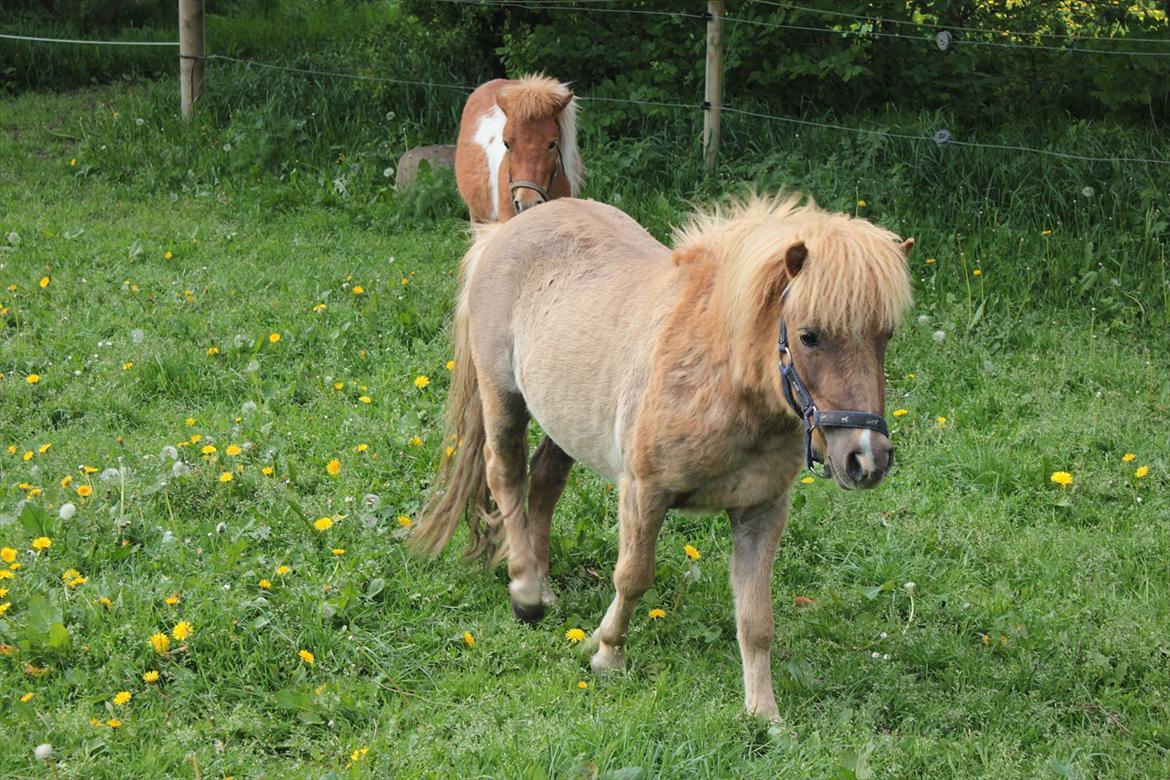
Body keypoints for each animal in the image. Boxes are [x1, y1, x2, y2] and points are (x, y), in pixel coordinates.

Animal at [411, 194, 912, 720]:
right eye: (810, 335)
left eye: (885, 334)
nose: (867, 458)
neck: (719, 378)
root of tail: (501, 232)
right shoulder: (644, 493)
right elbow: (633, 577)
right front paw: (607, 654)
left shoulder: (761, 512)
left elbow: (756, 618)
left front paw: (764, 714)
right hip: (503, 399)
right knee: (506, 476)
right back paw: (527, 593)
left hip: (564, 423)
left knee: (544, 485)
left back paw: (544, 584)